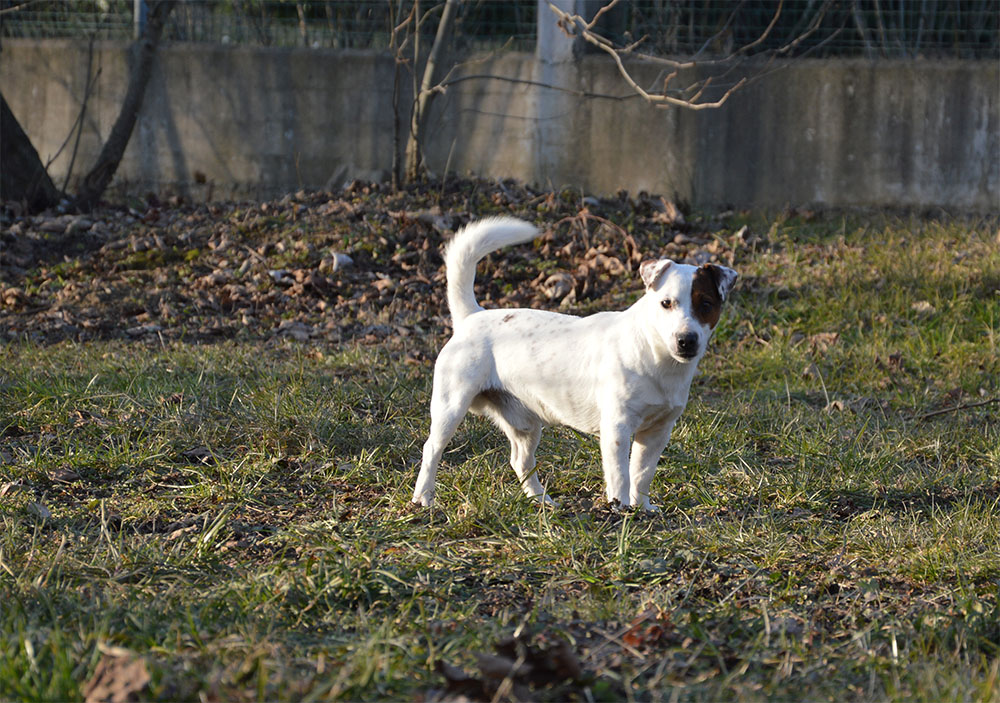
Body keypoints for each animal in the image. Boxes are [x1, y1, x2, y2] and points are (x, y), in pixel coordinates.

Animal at [410, 216, 740, 512]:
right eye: (666, 303)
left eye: (706, 304)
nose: (686, 340)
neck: (656, 358)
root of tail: (471, 316)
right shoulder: (617, 428)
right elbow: (620, 474)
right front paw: (620, 508)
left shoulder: (657, 431)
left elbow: (642, 474)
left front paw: (642, 507)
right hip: (451, 406)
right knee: (432, 449)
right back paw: (424, 498)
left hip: (526, 423)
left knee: (520, 461)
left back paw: (541, 500)